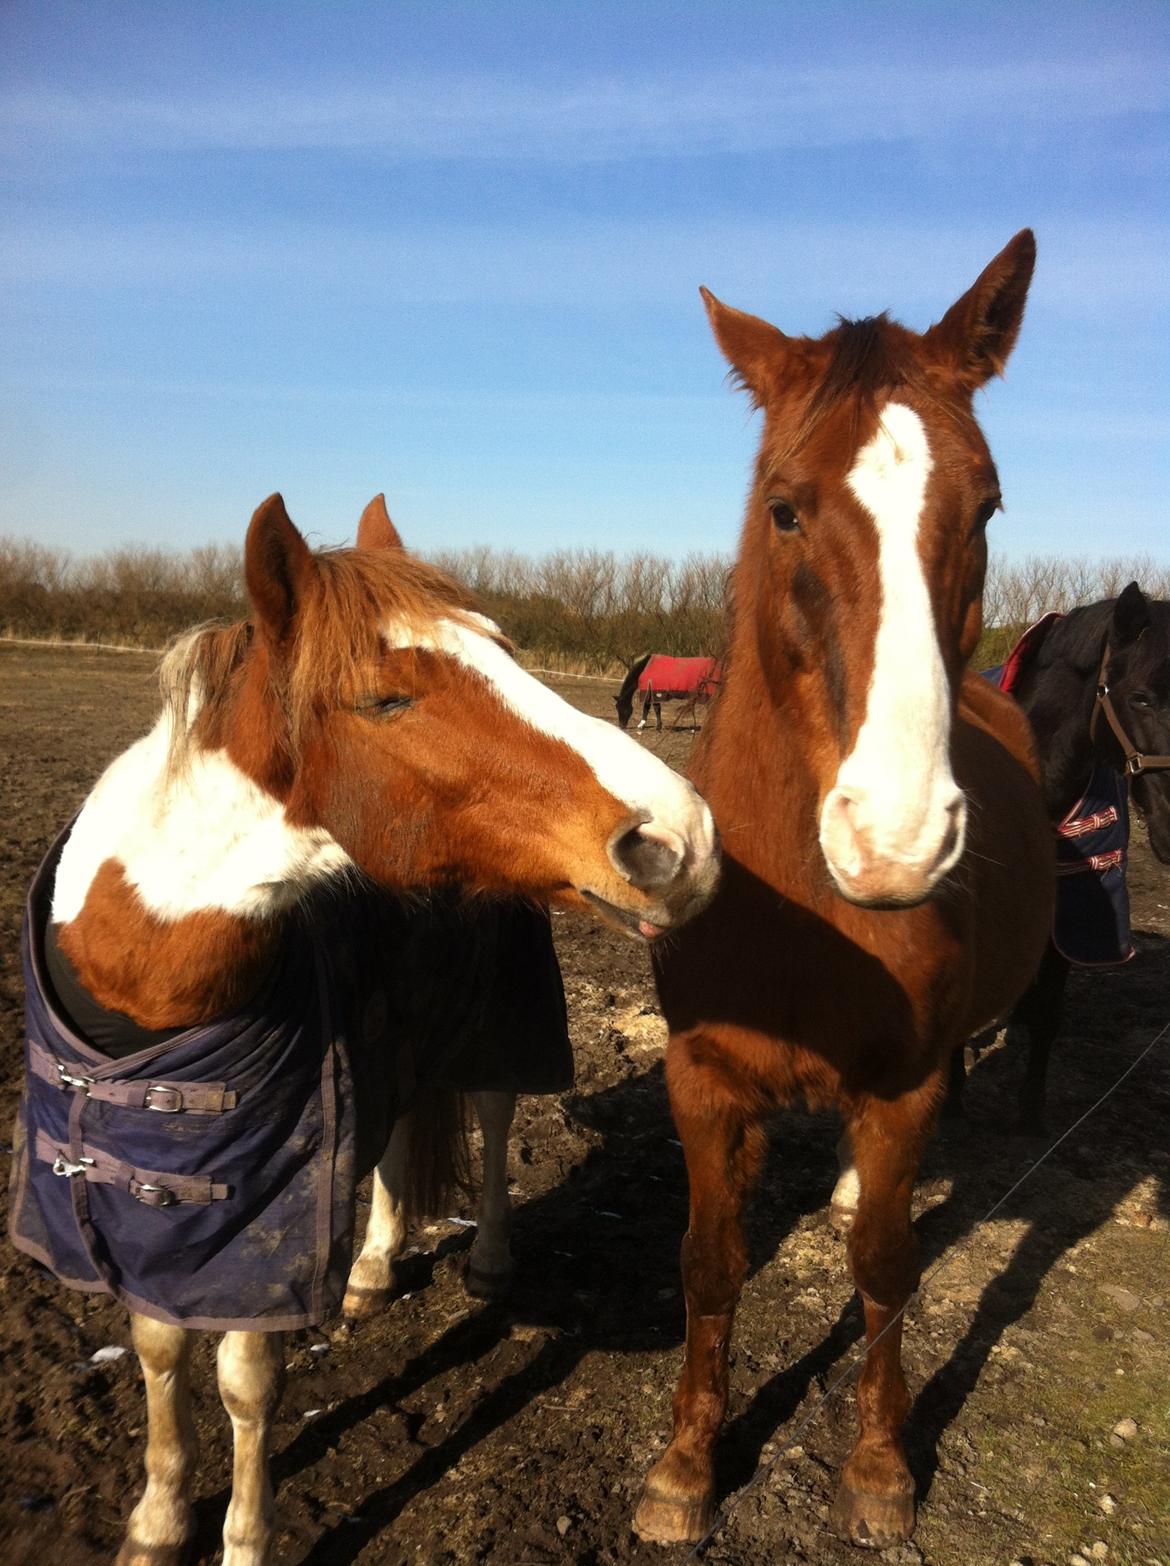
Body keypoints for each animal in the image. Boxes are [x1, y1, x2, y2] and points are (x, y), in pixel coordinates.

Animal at [9, 492, 720, 1566]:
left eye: (504, 650)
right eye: (386, 700)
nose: (680, 838)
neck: (137, 986)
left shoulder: (266, 1215)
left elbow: (245, 1382)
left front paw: (244, 1538)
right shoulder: (153, 1202)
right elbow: (159, 1348)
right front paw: (157, 1520)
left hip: (496, 1025)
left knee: (493, 1119)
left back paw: (486, 1261)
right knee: (394, 1140)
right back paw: (376, 1269)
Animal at [632, 230, 1054, 1551]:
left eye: (988, 504)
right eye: (785, 506)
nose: (897, 838)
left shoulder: (901, 1087)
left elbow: (882, 1267)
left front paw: (877, 1469)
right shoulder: (702, 1078)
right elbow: (707, 1263)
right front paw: (683, 1468)